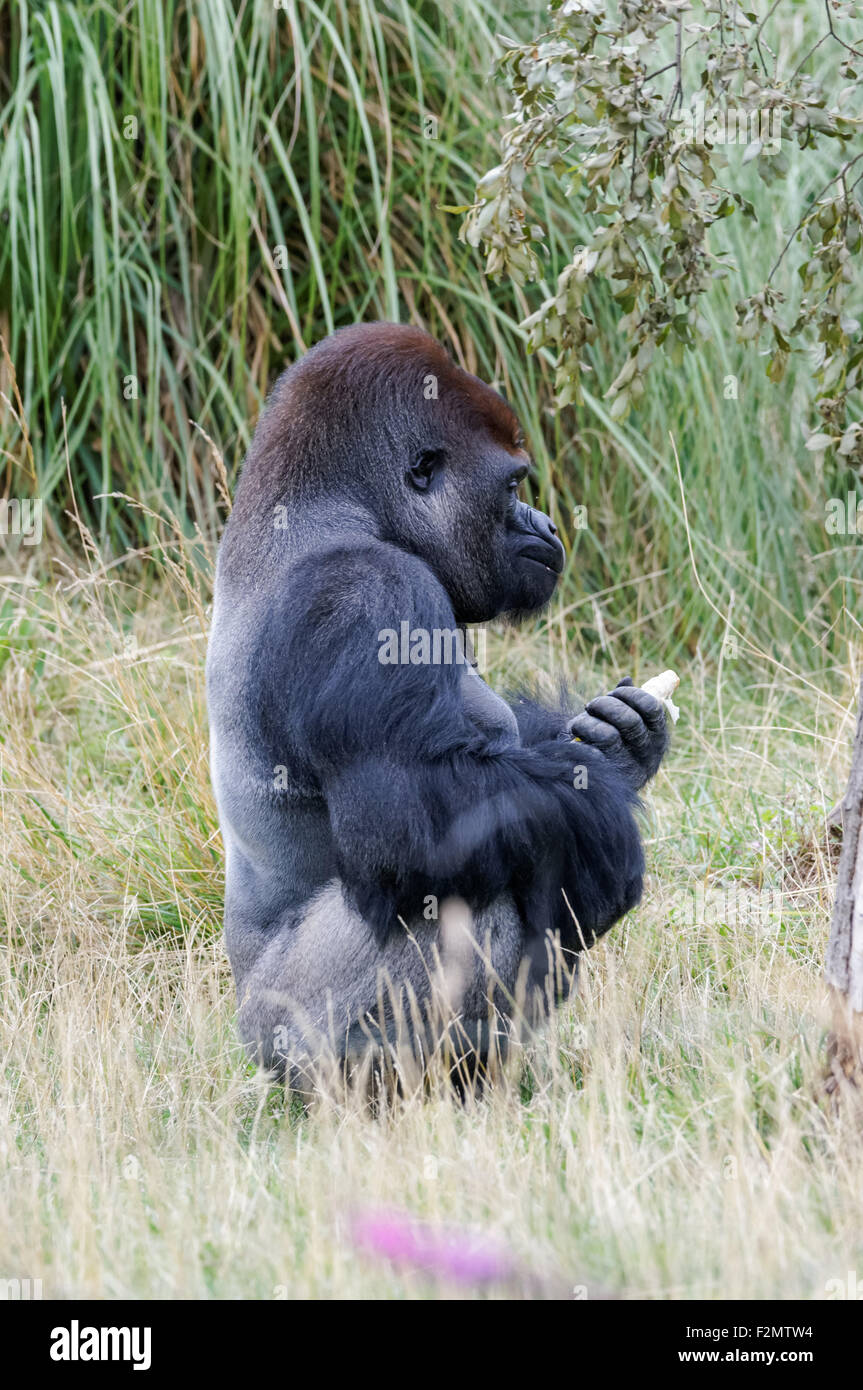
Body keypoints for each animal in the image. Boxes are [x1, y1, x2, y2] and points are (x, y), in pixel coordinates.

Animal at [207, 322, 667, 1084]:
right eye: (512, 484)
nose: (547, 525)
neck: (339, 513)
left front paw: (622, 746)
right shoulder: (367, 595)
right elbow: (409, 827)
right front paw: (607, 821)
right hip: (288, 1034)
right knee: (472, 895)